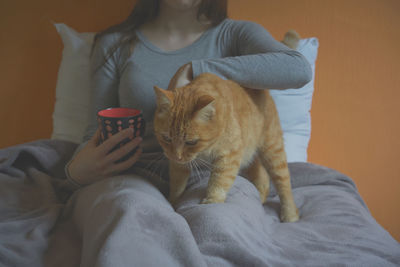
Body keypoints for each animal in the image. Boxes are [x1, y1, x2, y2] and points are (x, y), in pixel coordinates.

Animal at [153, 70, 300, 222]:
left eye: (191, 142)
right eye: (166, 138)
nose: (176, 156)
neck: (205, 149)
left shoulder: (229, 156)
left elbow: (219, 181)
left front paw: (212, 200)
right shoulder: (178, 165)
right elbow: (177, 185)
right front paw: (173, 202)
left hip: (273, 151)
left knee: (284, 185)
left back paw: (290, 214)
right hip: (249, 156)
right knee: (263, 177)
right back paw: (259, 199)